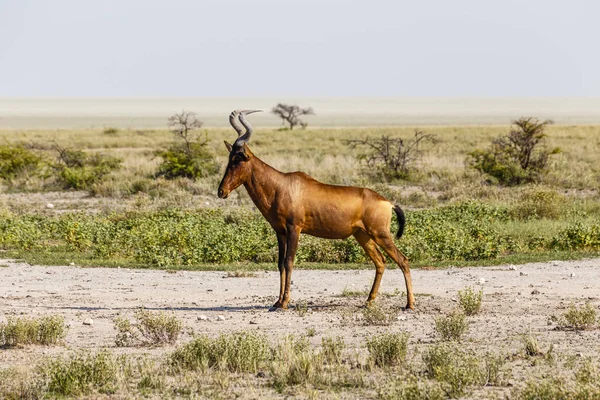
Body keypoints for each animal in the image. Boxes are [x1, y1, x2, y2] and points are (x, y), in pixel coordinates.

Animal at [218, 109, 414, 310]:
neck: (282, 185)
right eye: (229, 157)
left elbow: (289, 262)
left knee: (403, 260)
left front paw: (285, 302)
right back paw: (369, 301)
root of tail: (388, 202)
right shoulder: (280, 232)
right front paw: (277, 301)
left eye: (238, 159)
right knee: (381, 262)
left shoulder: (294, 229)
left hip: (380, 234)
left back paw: (410, 304)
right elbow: (280, 263)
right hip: (362, 235)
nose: (221, 191)